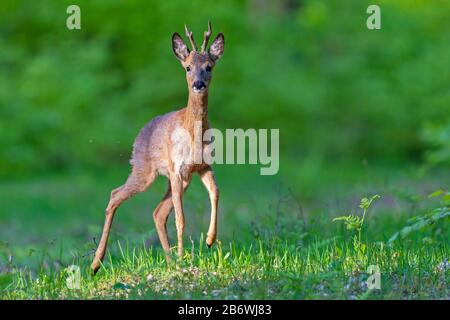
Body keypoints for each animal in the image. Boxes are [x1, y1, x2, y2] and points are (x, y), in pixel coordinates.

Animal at [91, 21, 225, 274]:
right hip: (145, 171)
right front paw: (184, 257)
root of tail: (140, 133)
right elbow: (181, 218)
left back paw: (170, 261)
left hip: (179, 179)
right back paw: (95, 264)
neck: (193, 132)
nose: (198, 84)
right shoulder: (177, 169)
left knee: (158, 213)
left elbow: (215, 192)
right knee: (115, 195)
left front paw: (210, 240)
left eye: (209, 66)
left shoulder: (202, 166)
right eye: (187, 67)